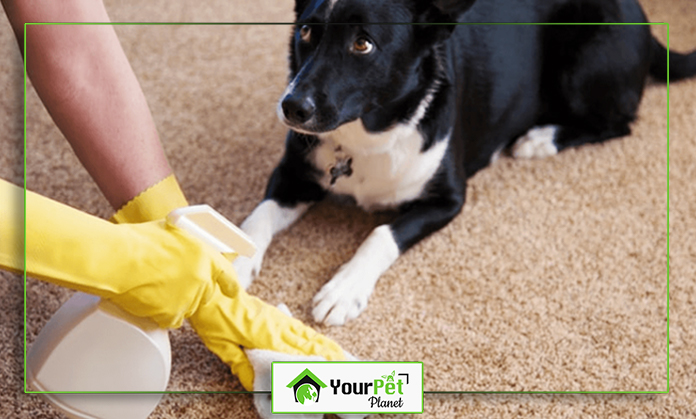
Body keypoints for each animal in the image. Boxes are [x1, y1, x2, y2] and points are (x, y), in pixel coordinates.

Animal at [235, 0, 696, 326]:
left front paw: (344, 288)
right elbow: (257, 217)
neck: (366, 139)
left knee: (618, 123)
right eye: (306, 31)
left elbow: (381, 234)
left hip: (582, 69)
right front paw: (233, 259)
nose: (292, 107)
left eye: (362, 43)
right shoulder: (293, 175)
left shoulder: (448, 200)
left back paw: (540, 139)